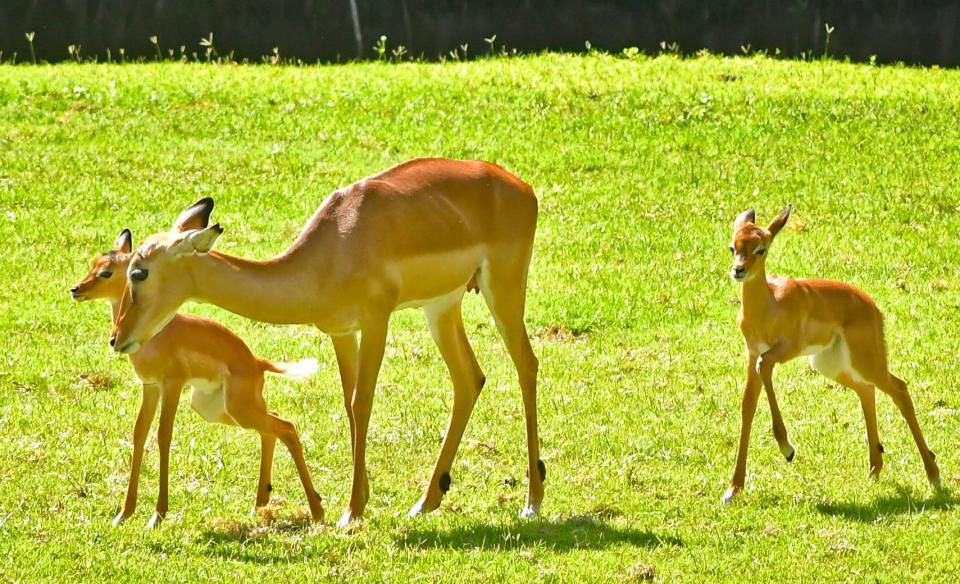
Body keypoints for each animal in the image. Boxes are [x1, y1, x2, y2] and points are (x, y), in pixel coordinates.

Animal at [71, 226, 324, 528]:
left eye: (107, 272)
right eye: (94, 264)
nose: (76, 289)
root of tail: (255, 362)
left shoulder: (172, 384)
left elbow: (163, 435)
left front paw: (157, 515)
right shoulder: (150, 386)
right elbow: (139, 434)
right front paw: (123, 513)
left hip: (237, 408)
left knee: (287, 427)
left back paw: (317, 510)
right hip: (217, 409)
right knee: (273, 426)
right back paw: (261, 504)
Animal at [109, 157, 544, 528]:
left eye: (139, 272)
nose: (118, 339)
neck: (336, 245)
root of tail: (521, 187)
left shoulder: (376, 320)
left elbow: (362, 402)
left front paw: (350, 513)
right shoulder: (340, 330)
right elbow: (349, 404)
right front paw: (359, 501)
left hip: (503, 287)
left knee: (527, 364)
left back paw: (532, 501)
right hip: (442, 305)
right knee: (469, 378)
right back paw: (425, 502)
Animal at [728, 204, 936, 502]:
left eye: (761, 249)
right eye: (733, 246)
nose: (738, 270)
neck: (769, 308)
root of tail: (874, 308)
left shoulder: (784, 350)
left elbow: (764, 366)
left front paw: (787, 448)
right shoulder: (752, 352)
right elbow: (747, 406)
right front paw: (733, 489)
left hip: (865, 360)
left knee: (899, 388)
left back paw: (934, 475)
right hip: (829, 363)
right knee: (867, 390)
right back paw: (875, 469)